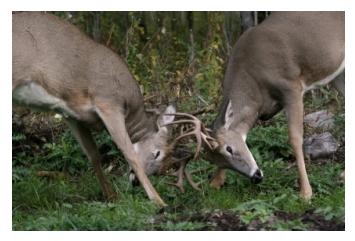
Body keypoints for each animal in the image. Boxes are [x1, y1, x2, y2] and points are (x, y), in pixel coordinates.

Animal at [12, 12, 179, 206]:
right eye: (158, 153)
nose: (135, 182)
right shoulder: (108, 102)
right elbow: (130, 153)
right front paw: (159, 201)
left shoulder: (71, 113)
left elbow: (93, 154)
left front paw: (111, 197)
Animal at [207, 11, 344, 201]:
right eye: (213, 159)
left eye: (229, 148)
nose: (256, 176)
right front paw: (215, 182)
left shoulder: (291, 87)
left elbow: (295, 138)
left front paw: (306, 192)